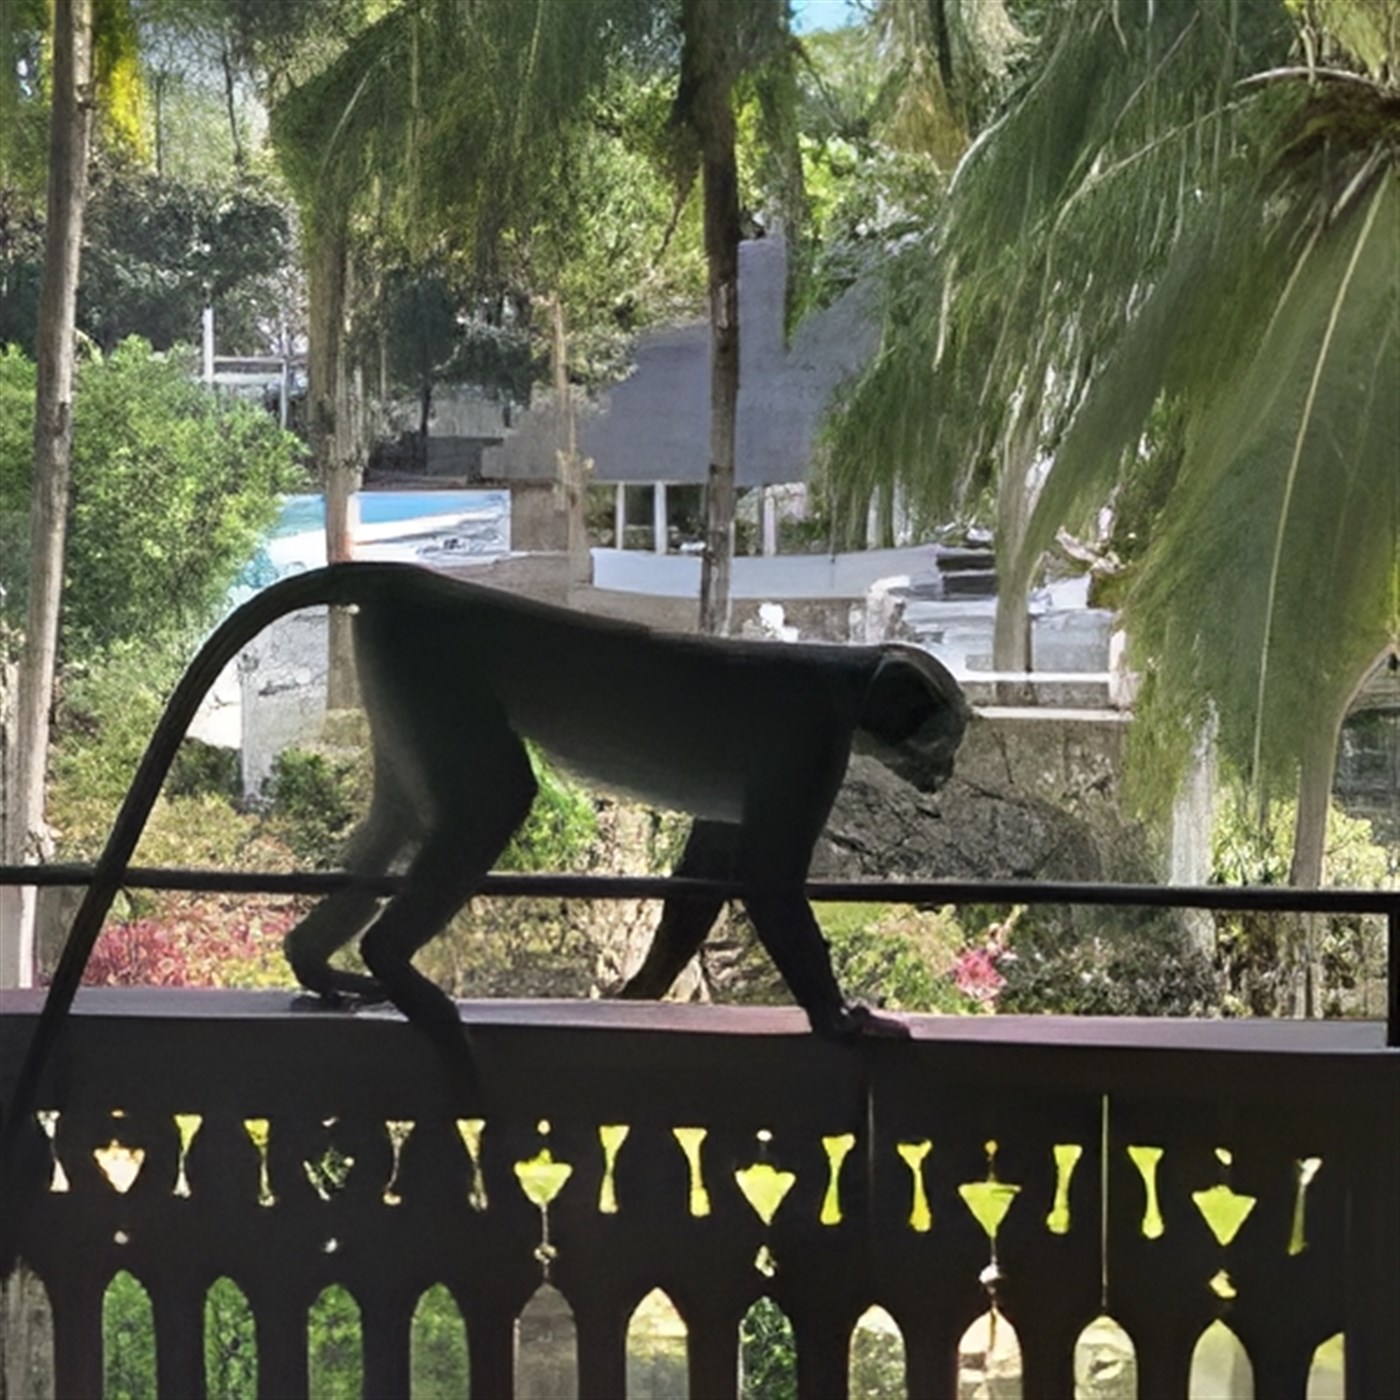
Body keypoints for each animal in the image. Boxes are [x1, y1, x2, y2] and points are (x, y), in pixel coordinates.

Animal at [4, 561, 968, 1133]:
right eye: (943, 737)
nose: (946, 776)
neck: (845, 681)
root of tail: (424, 583)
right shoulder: (813, 744)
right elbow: (765, 878)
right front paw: (838, 1021)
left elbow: (708, 866)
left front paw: (643, 991)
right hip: (433, 660)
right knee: (495, 797)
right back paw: (391, 965)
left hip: (398, 662)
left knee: (403, 813)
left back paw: (317, 961)